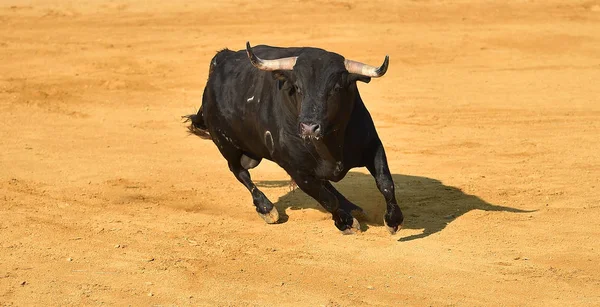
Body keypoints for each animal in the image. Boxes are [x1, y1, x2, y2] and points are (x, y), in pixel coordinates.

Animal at [185, 43, 406, 235]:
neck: (329, 144)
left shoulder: (372, 146)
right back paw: (266, 209)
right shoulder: (295, 169)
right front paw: (346, 223)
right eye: (298, 88)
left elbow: (385, 183)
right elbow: (326, 199)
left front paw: (393, 221)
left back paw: (351, 206)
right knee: (240, 172)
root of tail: (221, 59)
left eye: (335, 88)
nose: (309, 127)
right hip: (226, 146)